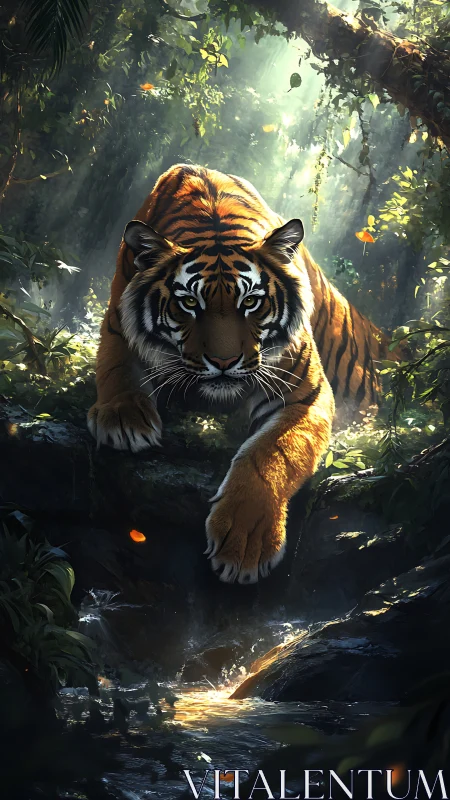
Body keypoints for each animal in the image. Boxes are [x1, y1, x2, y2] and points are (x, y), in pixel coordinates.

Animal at [88, 163, 400, 585]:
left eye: (251, 302)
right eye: (190, 303)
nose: (224, 362)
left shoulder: (306, 394)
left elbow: (271, 454)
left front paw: (245, 542)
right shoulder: (118, 319)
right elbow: (116, 364)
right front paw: (124, 419)